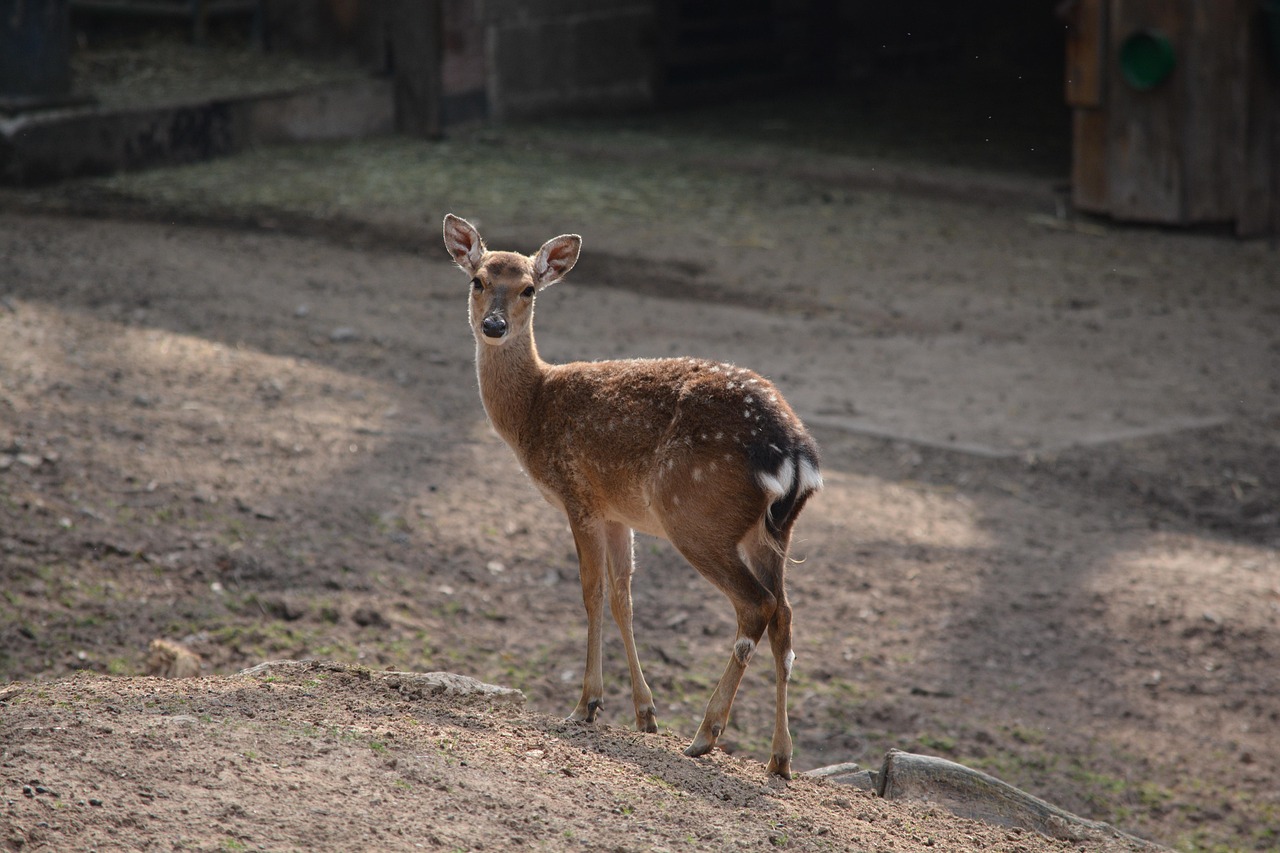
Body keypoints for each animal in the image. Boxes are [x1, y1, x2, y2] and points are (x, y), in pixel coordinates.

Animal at [442, 214, 822, 778]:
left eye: (529, 288)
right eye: (478, 280)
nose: (493, 326)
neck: (533, 409)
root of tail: (795, 452)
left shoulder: (577, 494)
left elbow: (591, 592)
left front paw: (586, 704)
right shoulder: (617, 511)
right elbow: (624, 598)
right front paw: (645, 713)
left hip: (697, 514)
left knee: (757, 605)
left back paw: (706, 734)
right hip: (773, 531)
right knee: (785, 617)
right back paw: (779, 757)